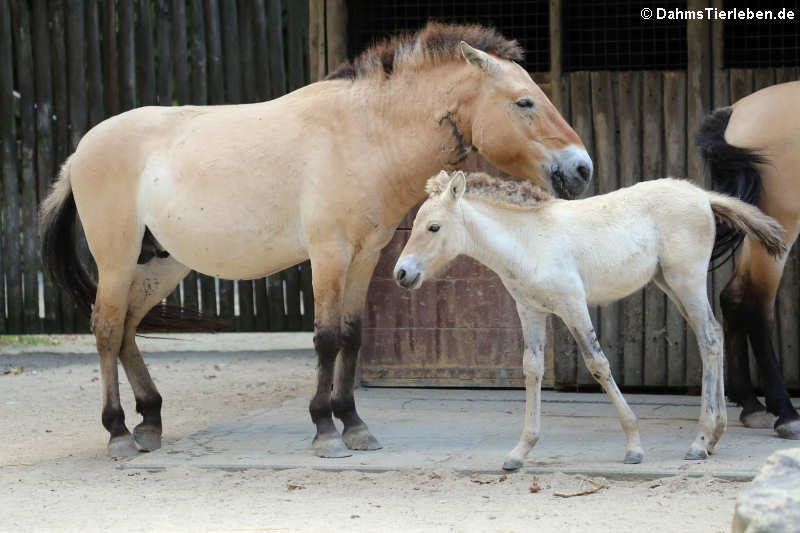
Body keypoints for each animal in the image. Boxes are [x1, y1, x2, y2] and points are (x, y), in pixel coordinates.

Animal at [37, 23, 592, 458]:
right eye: (524, 102)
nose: (581, 169)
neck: (363, 135)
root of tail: (81, 151)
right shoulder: (329, 254)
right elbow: (325, 337)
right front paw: (325, 430)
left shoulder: (366, 256)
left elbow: (352, 335)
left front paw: (355, 425)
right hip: (117, 261)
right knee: (107, 330)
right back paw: (118, 434)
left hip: (160, 264)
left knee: (128, 330)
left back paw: (149, 423)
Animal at [396, 168, 788, 468]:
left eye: (433, 227)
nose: (401, 273)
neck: (528, 241)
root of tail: (702, 196)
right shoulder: (530, 310)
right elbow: (532, 370)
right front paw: (520, 452)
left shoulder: (573, 304)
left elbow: (597, 363)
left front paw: (634, 446)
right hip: (669, 283)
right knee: (713, 337)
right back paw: (712, 438)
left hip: (686, 280)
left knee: (708, 337)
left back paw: (700, 439)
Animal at [696, 81, 800, 440]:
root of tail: (736, 111)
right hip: (779, 226)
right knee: (756, 303)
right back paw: (786, 414)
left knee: (733, 296)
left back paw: (751, 404)